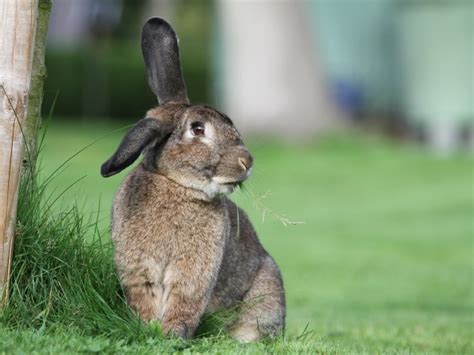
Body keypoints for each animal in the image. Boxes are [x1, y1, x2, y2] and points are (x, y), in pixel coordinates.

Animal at [100, 18, 286, 344]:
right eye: (198, 129)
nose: (246, 161)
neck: (175, 185)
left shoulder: (192, 274)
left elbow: (184, 303)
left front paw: (173, 336)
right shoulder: (138, 270)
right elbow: (145, 299)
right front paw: (147, 329)